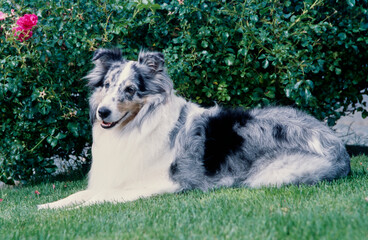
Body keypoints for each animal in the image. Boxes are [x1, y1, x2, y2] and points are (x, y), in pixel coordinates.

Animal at [37, 49, 350, 209]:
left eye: (130, 90)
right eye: (107, 85)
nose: (103, 112)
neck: (136, 125)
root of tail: (340, 148)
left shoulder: (163, 183)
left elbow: (100, 198)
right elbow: (79, 195)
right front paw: (49, 206)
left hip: (269, 176)